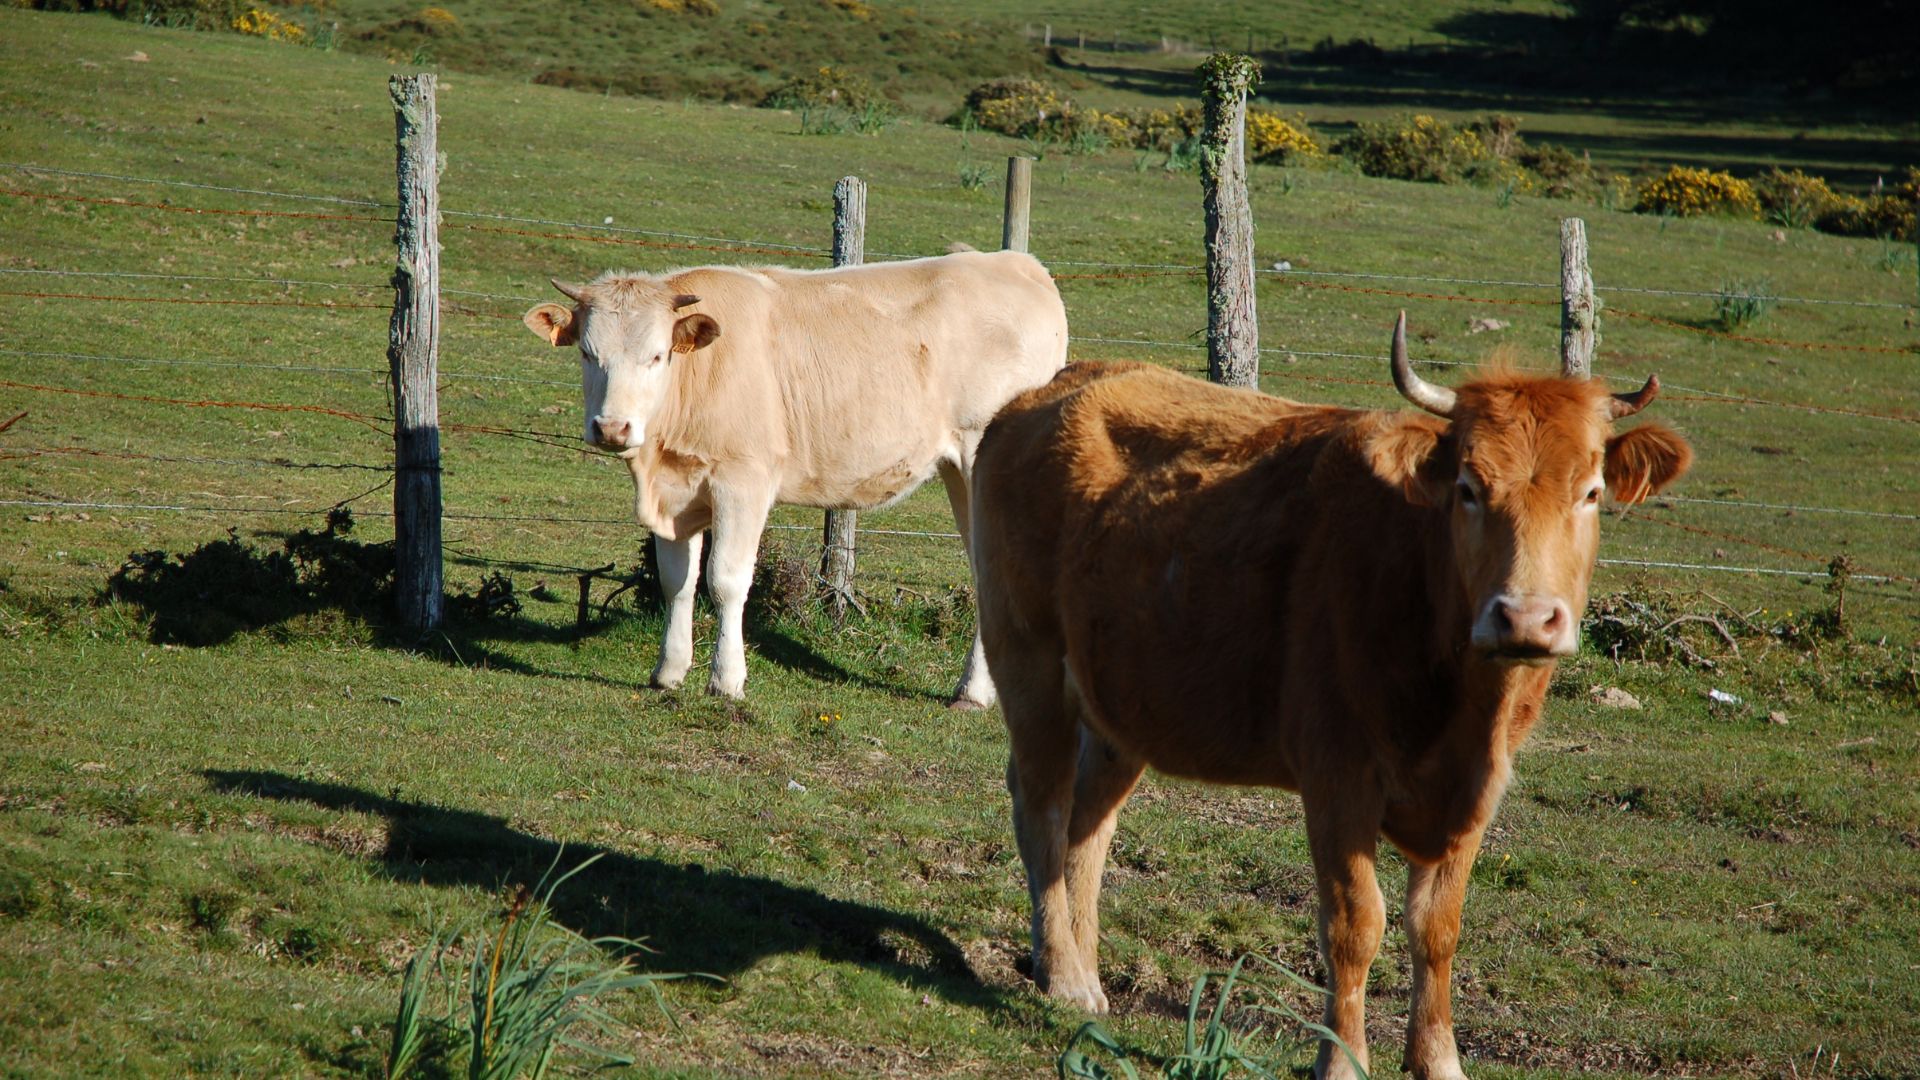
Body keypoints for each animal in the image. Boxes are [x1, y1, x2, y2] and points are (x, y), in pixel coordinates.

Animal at [522, 249, 1068, 705]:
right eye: (588, 354)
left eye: (657, 355)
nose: (612, 428)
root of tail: (1018, 263)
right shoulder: (678, 492)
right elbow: (678, 580)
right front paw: (669, 671)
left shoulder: (743, 480)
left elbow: (725, 580)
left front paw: (726, 680)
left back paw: (975, 693)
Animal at [969, 314, 1692, 1080]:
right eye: (1469, 488)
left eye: (1590, 492)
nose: (1525, 617)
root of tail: (1055, 388)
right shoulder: (1339, 775)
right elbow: (1355, 924)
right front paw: (1342, 1059)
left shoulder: (1477, 790)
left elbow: (1438, 927)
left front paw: (1439, 1058)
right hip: (1029, 662)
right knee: (1043, 807)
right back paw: (1064, 974)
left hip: (1118, 705)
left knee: (1089, 824)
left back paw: (1081, 969)